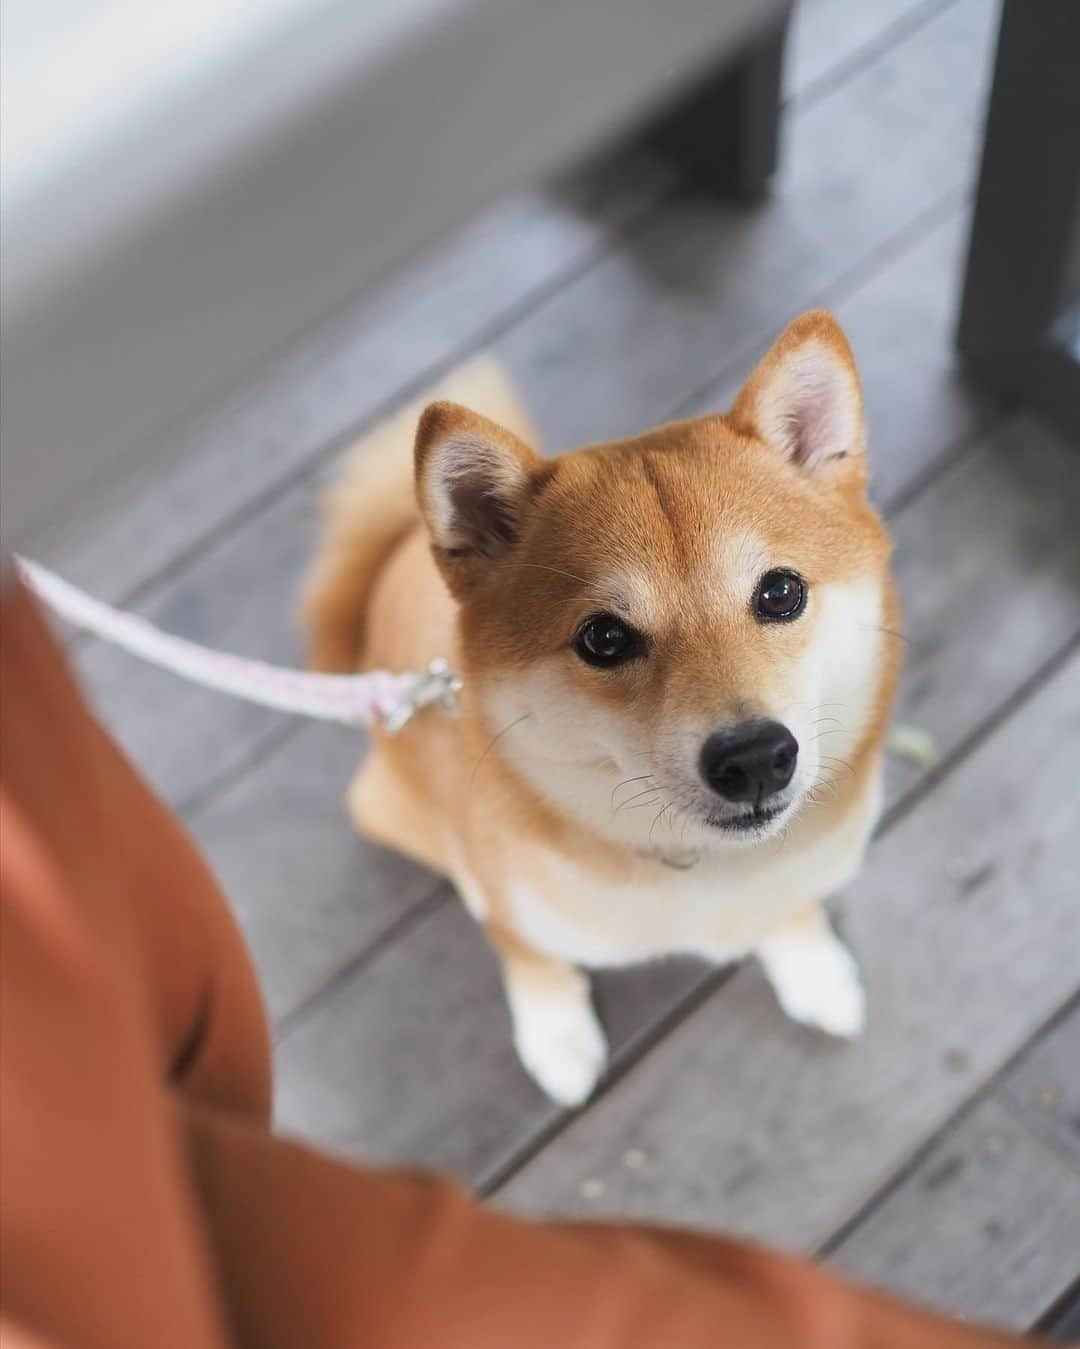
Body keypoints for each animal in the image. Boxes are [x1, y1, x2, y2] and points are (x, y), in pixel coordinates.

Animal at [299, 315, 895, 1106]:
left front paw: (813, 968)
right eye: (604, 638)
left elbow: (793, 908)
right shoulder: (510, 908)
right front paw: (555, 1034)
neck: (700, 866)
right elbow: (530, 957)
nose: (754, 758)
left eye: (780, 592)